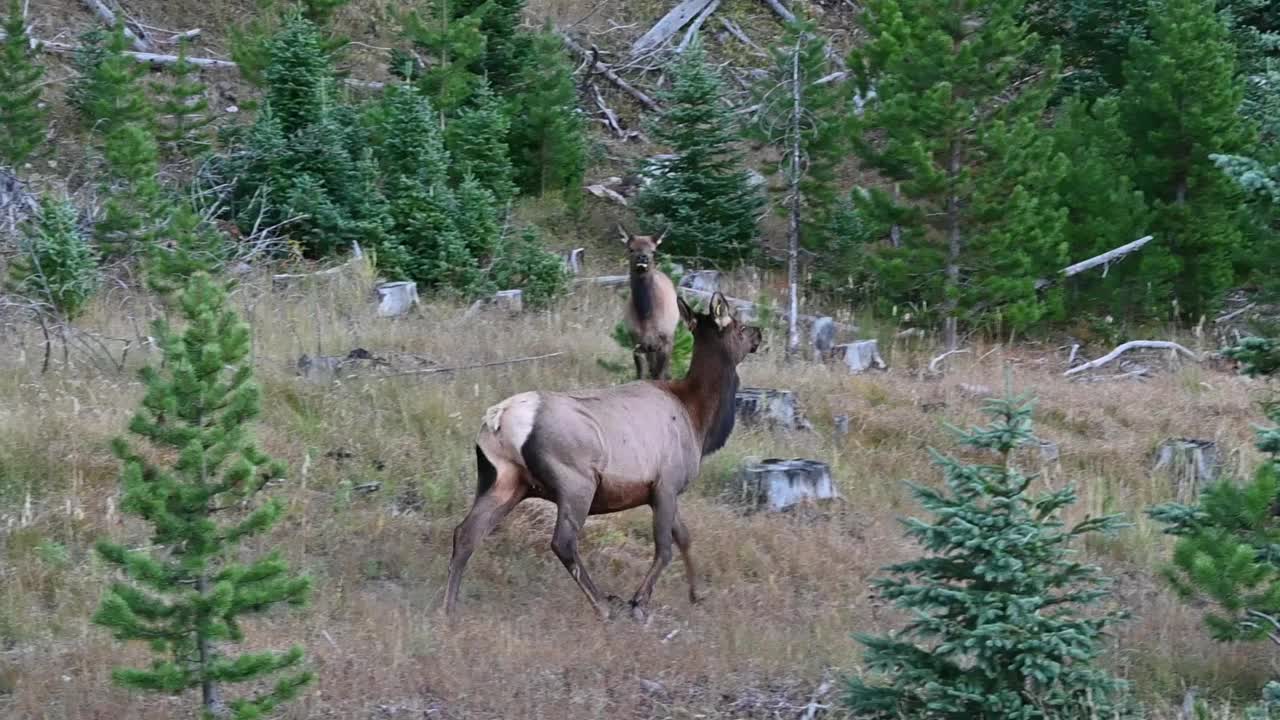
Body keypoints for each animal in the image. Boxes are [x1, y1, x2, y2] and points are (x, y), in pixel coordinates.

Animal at [445, 289, 757, 617]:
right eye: (739, 327)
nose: (759, 333)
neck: (698, 419)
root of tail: (498, 418)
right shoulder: (667, 483)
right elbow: (665, 548)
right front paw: (638, 601)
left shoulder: (662, 490)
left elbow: (684, 536)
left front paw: (697, 594)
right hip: (577, 482)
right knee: (563, 542)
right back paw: (603, 605)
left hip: (503, 479)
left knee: (466, 532)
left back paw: (449, 607)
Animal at [619, 224, 680, 381]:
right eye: (631, 249)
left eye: (653, 250)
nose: (643, 257)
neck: (646, 317)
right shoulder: (636, 342)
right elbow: (640, 375)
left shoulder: (665, 341)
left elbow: (659, 376)